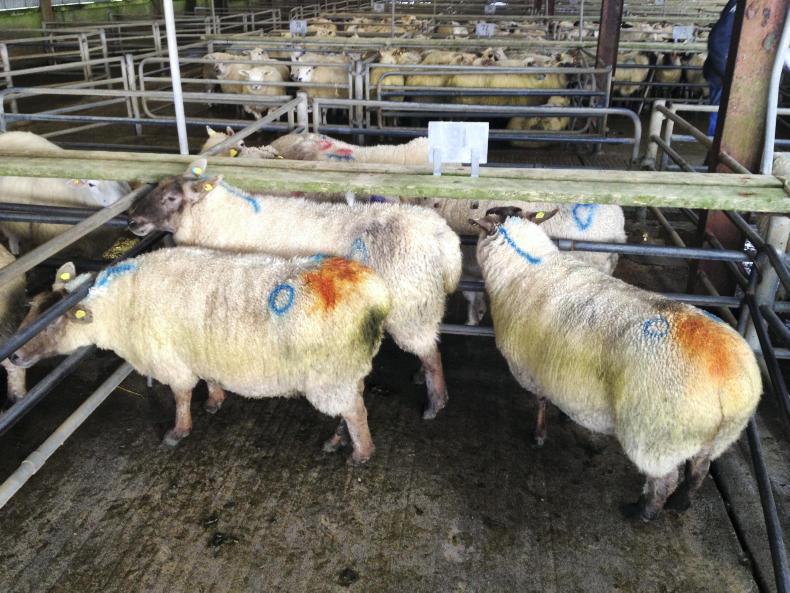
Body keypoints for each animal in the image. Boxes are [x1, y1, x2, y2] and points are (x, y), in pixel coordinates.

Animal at [11, 252, 390, 463]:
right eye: (31, 307)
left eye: (55, 320)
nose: (13, 356)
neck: (118, 306)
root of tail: (375, 294)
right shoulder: (200, 350)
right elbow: (208, 378)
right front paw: (214, 400)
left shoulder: (170, 359)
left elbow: (180, 395)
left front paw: (178, 432)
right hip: (346, 369)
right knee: (352, 402)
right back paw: (338, 439)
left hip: (330, 373)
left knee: (356, 411)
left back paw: (361, 454)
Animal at [127, 160, 462, 420]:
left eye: (171, 197)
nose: (132, 220)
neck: (219, 217)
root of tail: (443, 237)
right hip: (421, 303)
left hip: (410, 306)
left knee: (430, 354)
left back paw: (435, 404)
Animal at [470, 207, 761, 521]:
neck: (526, 265)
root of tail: (730, 385)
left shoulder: (532, 369)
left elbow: (540, 402)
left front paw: (539, 435)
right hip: (715, 438)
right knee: (699, 470)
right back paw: (680, 503)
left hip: (657, 437)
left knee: (664, 481)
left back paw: (642, 511)